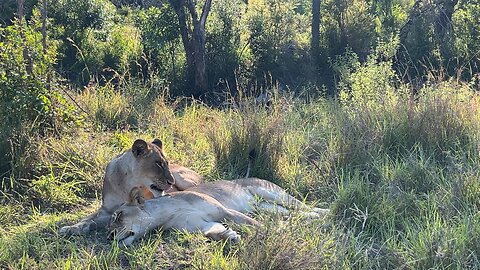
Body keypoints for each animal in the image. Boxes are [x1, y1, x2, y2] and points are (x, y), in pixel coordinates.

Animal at [107, 178, 328, 246]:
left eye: (118, 216)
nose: (109, 236)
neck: (163, 214)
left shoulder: (225, 211)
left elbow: (256, 225)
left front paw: (275, 233)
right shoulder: (199, 225)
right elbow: (214, 231)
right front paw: (230, 235)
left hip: (271, 193)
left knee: (301, 205)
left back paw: (324, 212)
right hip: (267, 207)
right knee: (289, 213)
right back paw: (310, 219)